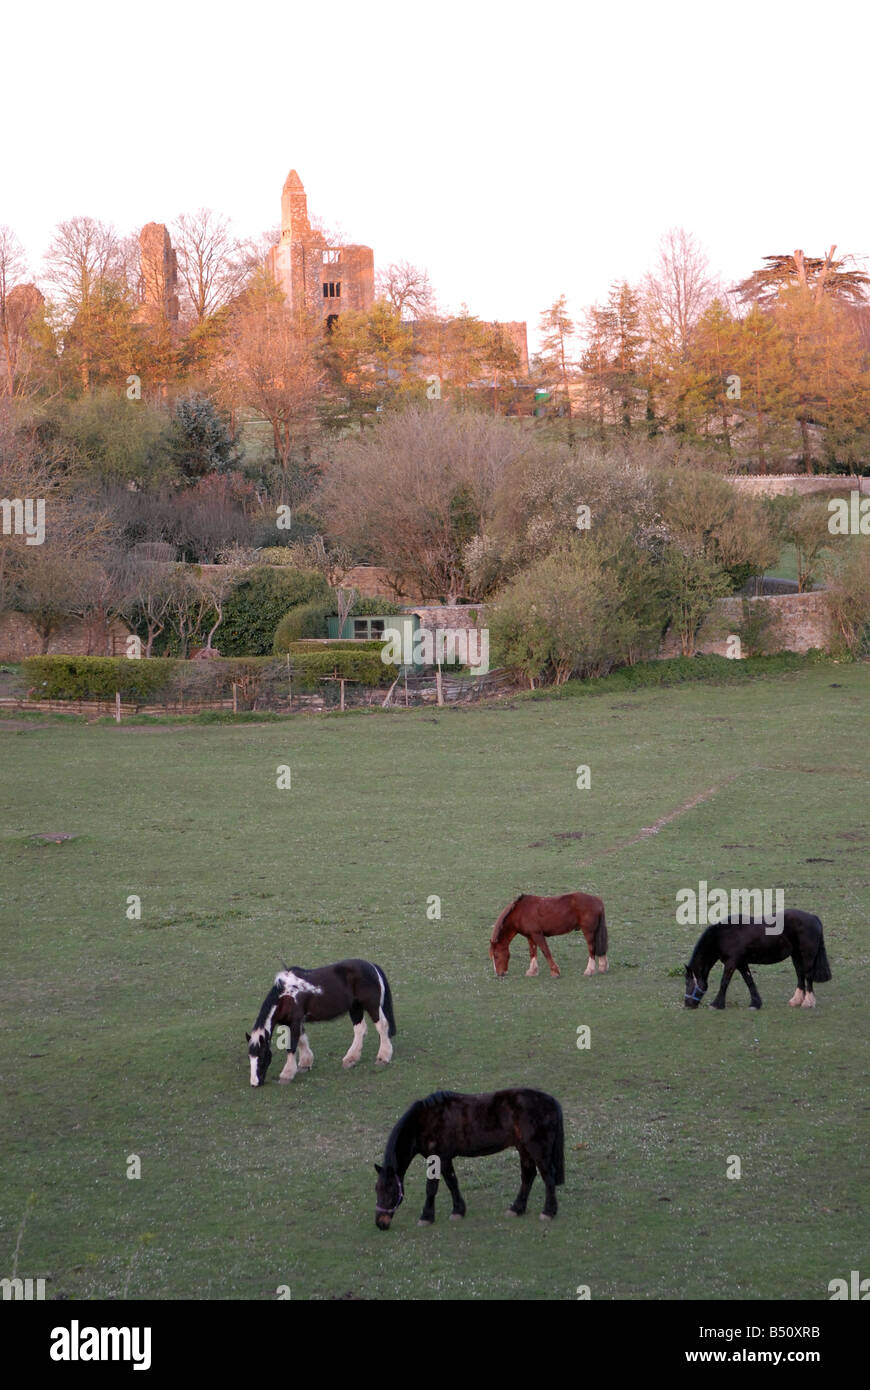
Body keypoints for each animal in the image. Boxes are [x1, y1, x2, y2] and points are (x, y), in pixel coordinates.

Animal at [241, 956, 394, 1084]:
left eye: (262, 1056)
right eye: (250, 1057)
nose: (255, 1083)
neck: (286, 996)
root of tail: (372, 966)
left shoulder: (295, 1022)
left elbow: (292, 1046)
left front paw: (287, 1074)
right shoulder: (296, 1022)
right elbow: (302, 1040)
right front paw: (305, 1064)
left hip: (371, 1005)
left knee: (382, 1026)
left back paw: (383, 1057)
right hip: (355, 1007)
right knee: (360, 1030)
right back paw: (350, 1059)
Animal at [369, 1084, 561, 1228]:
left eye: (390, 1190)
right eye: (377, 1189)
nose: (380, 1223)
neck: (424, 1121)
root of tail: (550, 1101)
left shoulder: (437, 1158)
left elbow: (432, 1188)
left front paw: (426, 1217)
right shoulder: (445, 1159)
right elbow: (452, 1182)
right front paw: (458, 1211)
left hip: (537, 1150)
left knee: (548, 1177)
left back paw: (548, 1212)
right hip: (523, 1149)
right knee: (528, 1176)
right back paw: (516, 1209)